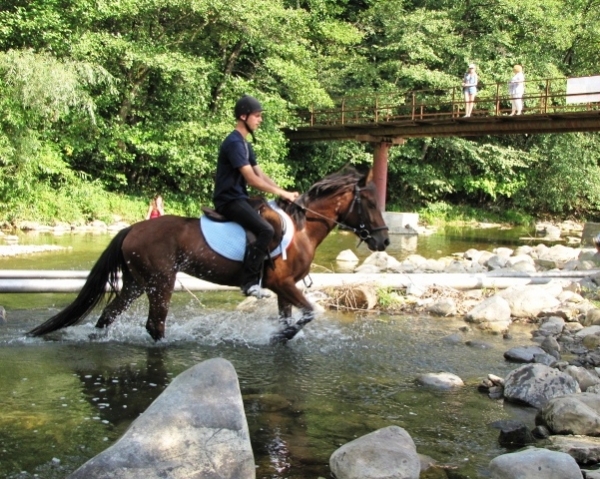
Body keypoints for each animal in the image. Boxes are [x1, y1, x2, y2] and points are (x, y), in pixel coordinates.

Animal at [28, 167, 392, 344]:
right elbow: (309, 313)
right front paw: (279, 336)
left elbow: (292, 317)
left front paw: (281, 337)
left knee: (108, 316)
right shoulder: (282, 284)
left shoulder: (283, 290)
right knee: (154, 323)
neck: (302, 230)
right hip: (161, 281)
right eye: (369, 203)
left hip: (136, 283)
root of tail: (131, 229)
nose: (384, 240)